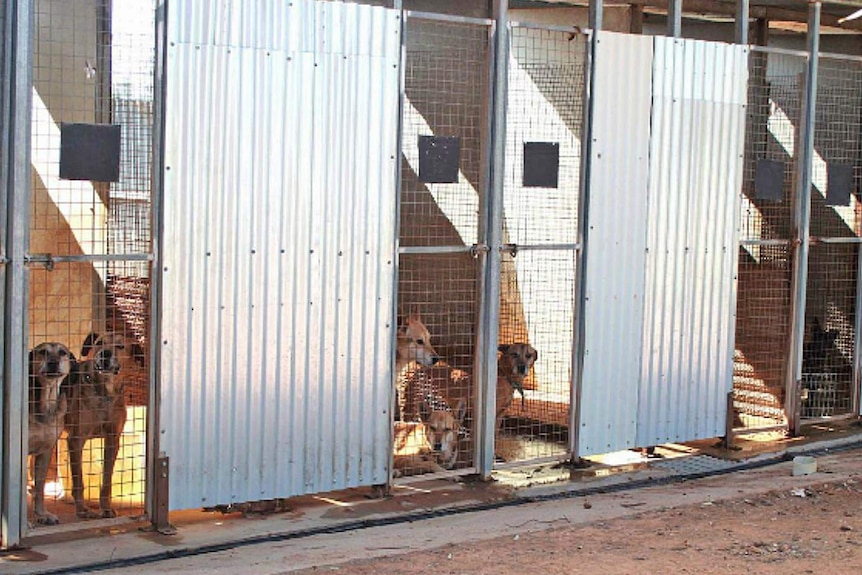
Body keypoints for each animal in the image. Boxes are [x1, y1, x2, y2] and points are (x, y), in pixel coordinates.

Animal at [27, 342, 74, 528]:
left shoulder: (45, 450)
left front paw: (42, 514)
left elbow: (39, 486)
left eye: (62, 352)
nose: (53, 362)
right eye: (42, 352)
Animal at [65, 336, 127, 520]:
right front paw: (82, 510)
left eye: (120, 345)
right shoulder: (75, 440)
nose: (105, 353)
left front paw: (105, 508)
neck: (105, 394)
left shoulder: (112, 440)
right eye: (99, 342)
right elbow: (78, 480)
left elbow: (107, 480)